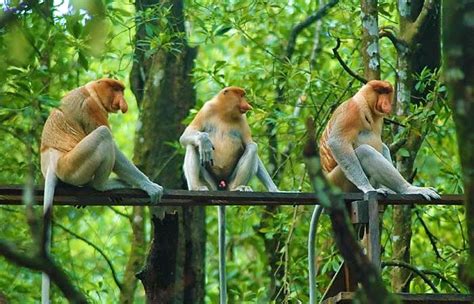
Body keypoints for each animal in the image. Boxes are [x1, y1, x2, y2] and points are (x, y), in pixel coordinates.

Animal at [40, 78, 163, 302]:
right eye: (116, 89)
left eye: (122, 90)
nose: (123, 102)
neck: (92, 91)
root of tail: (52, 161)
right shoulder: (91, 108)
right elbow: (112, 143)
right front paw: (150, 186)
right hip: (73, 165)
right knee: (103, 135)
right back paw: (104, 185)